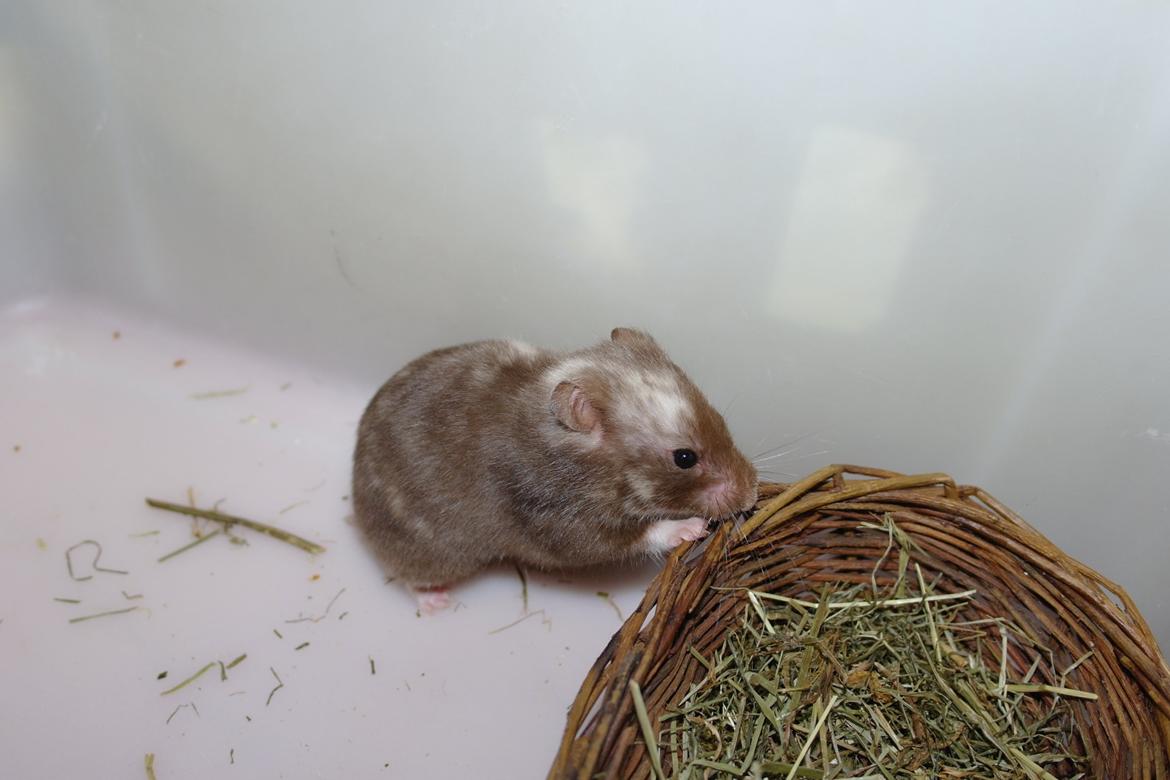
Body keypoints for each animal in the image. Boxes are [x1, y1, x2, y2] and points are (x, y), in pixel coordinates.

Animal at [352, 327, 758, 612]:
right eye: (684, 457)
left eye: (720, 418)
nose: (753, 493)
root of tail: (354, 492)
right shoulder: (561, 524)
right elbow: (635, 536)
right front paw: (691, 527)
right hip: (433, 554)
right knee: (408, 579)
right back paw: (436, 602)